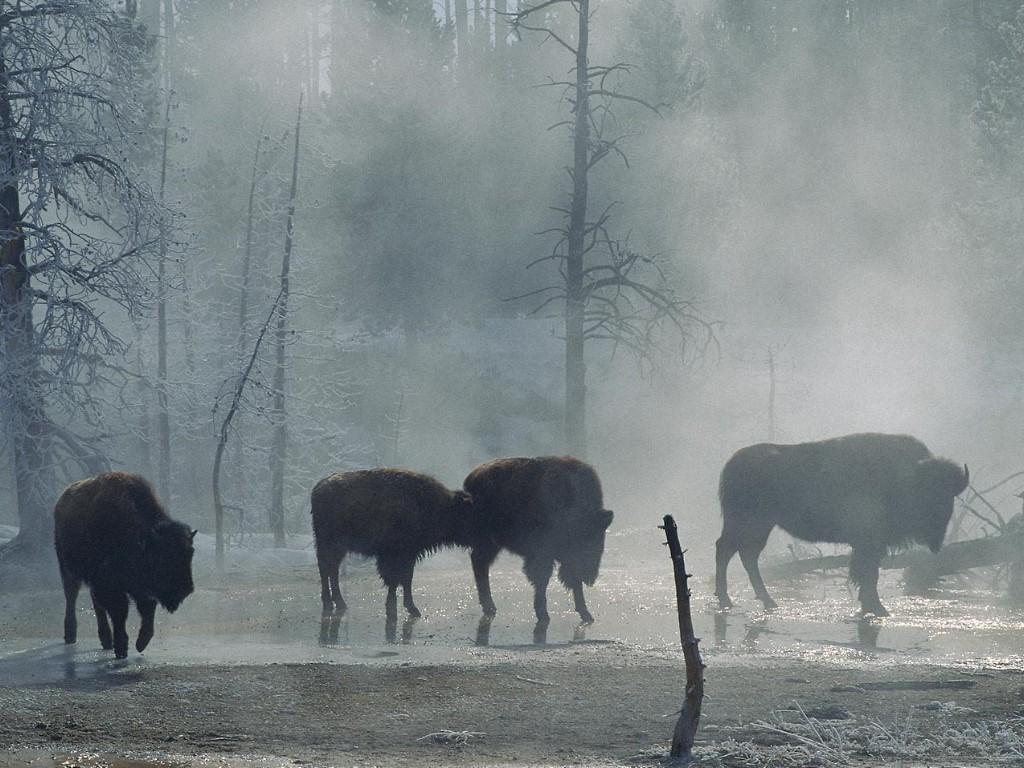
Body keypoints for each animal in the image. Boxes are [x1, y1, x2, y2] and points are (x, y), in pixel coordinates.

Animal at [56, 475, 197, 663]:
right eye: (164, 556)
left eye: (190, 553)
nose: (186, 589)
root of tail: (62, 499)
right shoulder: (110, 586)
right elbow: (120, 612)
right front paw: (122, 648)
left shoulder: (139, 588)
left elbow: (147, 611)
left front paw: (141, 643)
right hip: (68, 570)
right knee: (71, 597)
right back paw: (71, 635)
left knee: (96, 604)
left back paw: (106, 640)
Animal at [309, 468, 473, 618]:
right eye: (468, 514)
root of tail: (318, 488)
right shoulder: (395, 555)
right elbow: (395, 578)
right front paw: (400, 607)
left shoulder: (410, 555)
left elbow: (405, 579)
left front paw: (408, 607)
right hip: (328, 544)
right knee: (325, 569)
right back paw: (329, 604)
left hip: (338, 548)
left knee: (332, 570)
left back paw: (340, 604)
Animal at [464, 456, 614, 626]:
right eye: (588, 538)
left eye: (600, 538)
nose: (590, 578)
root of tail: (472, 478)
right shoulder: (543, 555)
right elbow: (542, 580)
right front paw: (543, 614)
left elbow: (572, 584)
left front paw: (586, 614)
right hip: (488, 542)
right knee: (479, 564)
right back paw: (490, 607)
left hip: (492, 545)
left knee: (480, 563)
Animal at [712, 434, 966, 618]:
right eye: (927, 491)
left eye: (949, 495)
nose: (937, 537)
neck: (906, 477)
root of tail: (731, 465)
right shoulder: (869, 544)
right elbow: (868, 574)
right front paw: (878, 608)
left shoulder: (870, 546)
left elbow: (867, 573)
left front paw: (870, 606)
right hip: (748, 524)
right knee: (727, 551)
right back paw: (731, 600)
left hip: (758, 527)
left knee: (744, 555)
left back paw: (765, 601)